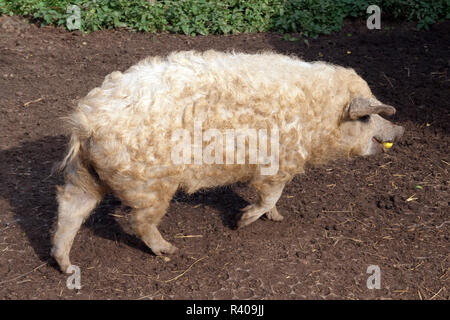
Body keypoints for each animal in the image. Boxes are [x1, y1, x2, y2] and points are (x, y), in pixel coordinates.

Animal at [50, 50, 404, 272]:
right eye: (367, 116)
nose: (399, 128)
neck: (319, 118)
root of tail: (85, 123)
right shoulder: (277, 165)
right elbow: (268, 194)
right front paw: (241, 222)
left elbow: (272, 199)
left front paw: (277, 219)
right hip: (150, 185)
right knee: (139, 222)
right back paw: (170, 251)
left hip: (84, 177)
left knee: (68, 208)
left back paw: (67, 267)